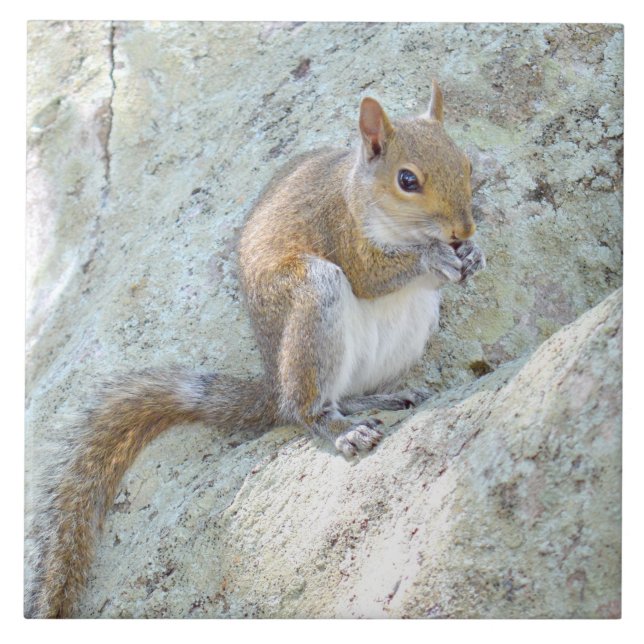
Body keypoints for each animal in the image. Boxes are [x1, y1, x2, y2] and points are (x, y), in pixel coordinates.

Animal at [27, 80, 485, 618]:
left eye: (467, 163)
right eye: (407, 180)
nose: (464, 231)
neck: (365, 196)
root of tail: (272, 379)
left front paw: (473, 255)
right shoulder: (341, 230)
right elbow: (373, 274)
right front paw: (433, 257)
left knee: (347, 392)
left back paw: (381, 399)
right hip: (313, 301)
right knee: (302, 408)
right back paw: (341, 429)